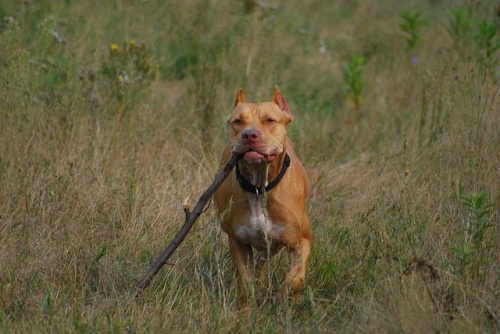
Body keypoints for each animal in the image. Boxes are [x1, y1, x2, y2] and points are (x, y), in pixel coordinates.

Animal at [213, 86, 310, 302]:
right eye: (238, 121)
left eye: (269, 120)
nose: (250, 135)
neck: (259, 188)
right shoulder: (238, 242)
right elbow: (245, 283)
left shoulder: (301, 240)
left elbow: (295, 278)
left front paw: (283, 295)